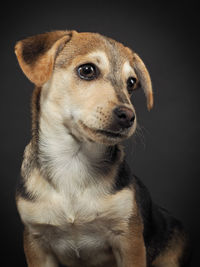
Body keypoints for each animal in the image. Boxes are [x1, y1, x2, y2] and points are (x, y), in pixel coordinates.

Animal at [14, 30, 190, 267]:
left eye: (131, 83)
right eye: (87, 70)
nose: (128, 116)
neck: (73, 161)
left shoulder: (129, 240)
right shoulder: (36, 242)